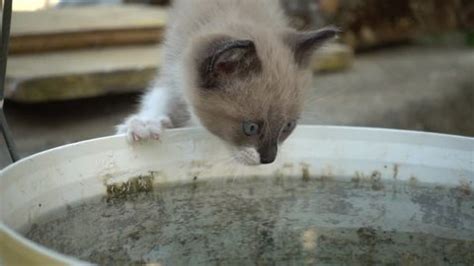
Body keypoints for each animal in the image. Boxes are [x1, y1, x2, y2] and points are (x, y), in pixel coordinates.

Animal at [118, 0, 340, 165]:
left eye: (288, 126)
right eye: (250, 128)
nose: (269, 159)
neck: (230, 9)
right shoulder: (173, 63)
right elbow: (160, 96)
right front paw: (145, 124)